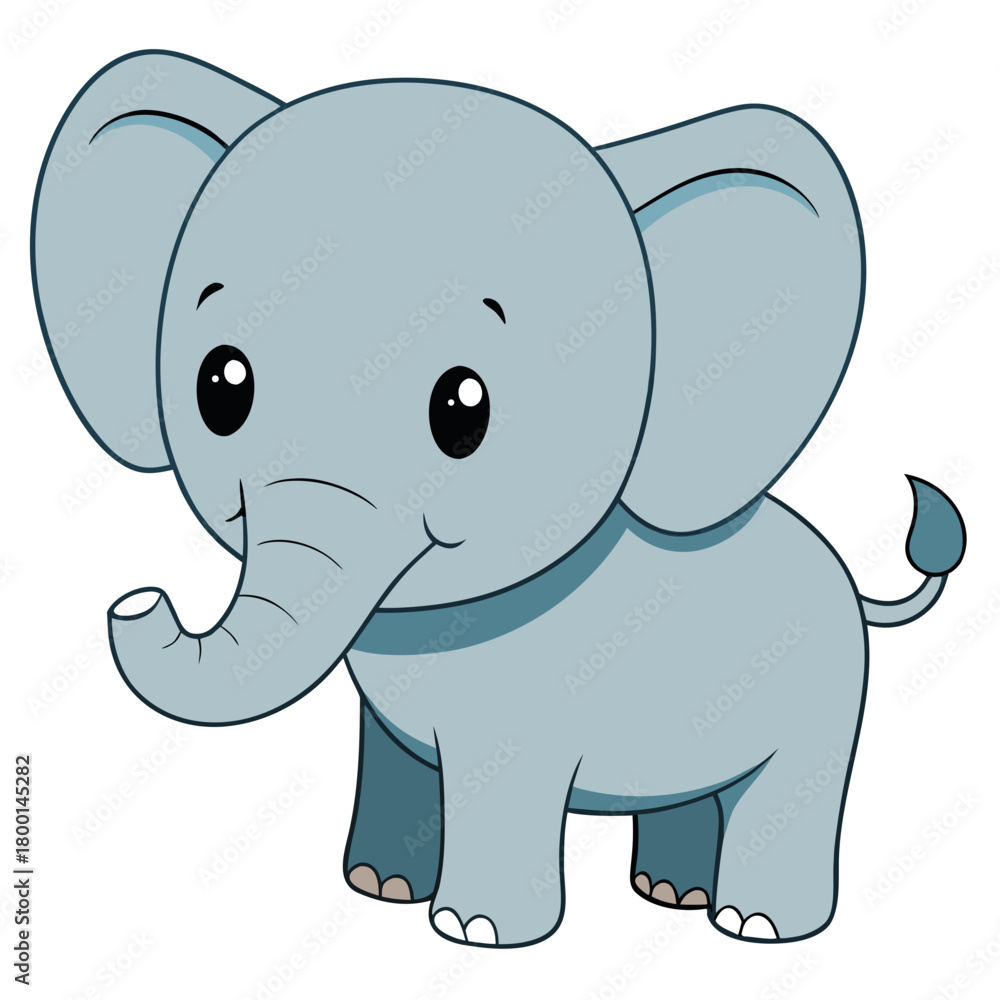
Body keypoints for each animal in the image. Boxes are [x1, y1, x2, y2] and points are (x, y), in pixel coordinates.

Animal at [32, 50, 967, 948]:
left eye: (463, 410)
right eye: (220, 387)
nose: (138, 600)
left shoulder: (529, 708)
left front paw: (474, 933)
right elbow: (398, 757)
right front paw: (379, 888)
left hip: (826, 693)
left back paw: (755, 926)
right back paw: (671, 894)